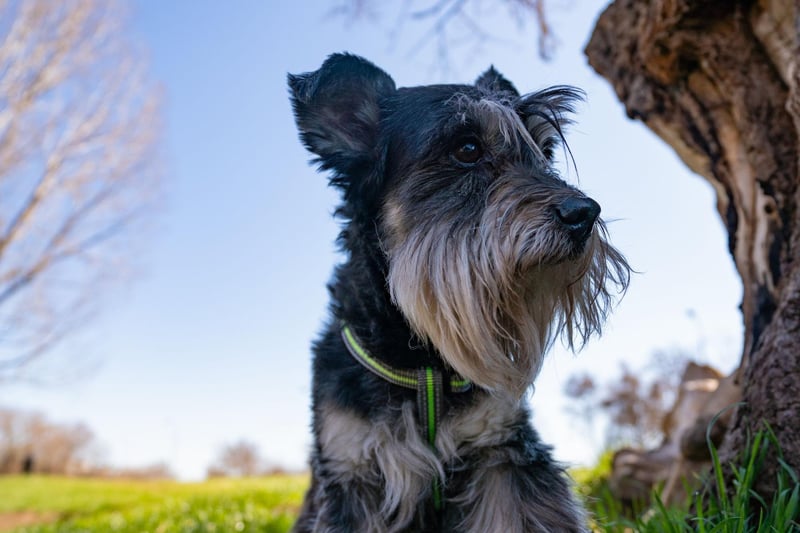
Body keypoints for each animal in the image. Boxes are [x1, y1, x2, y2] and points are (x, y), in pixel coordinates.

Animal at [290, 54, 632, 532]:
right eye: (467, 149)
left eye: (544, 151)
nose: (584, 213)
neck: (421, 361)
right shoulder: (351, 472)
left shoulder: (501, 454)